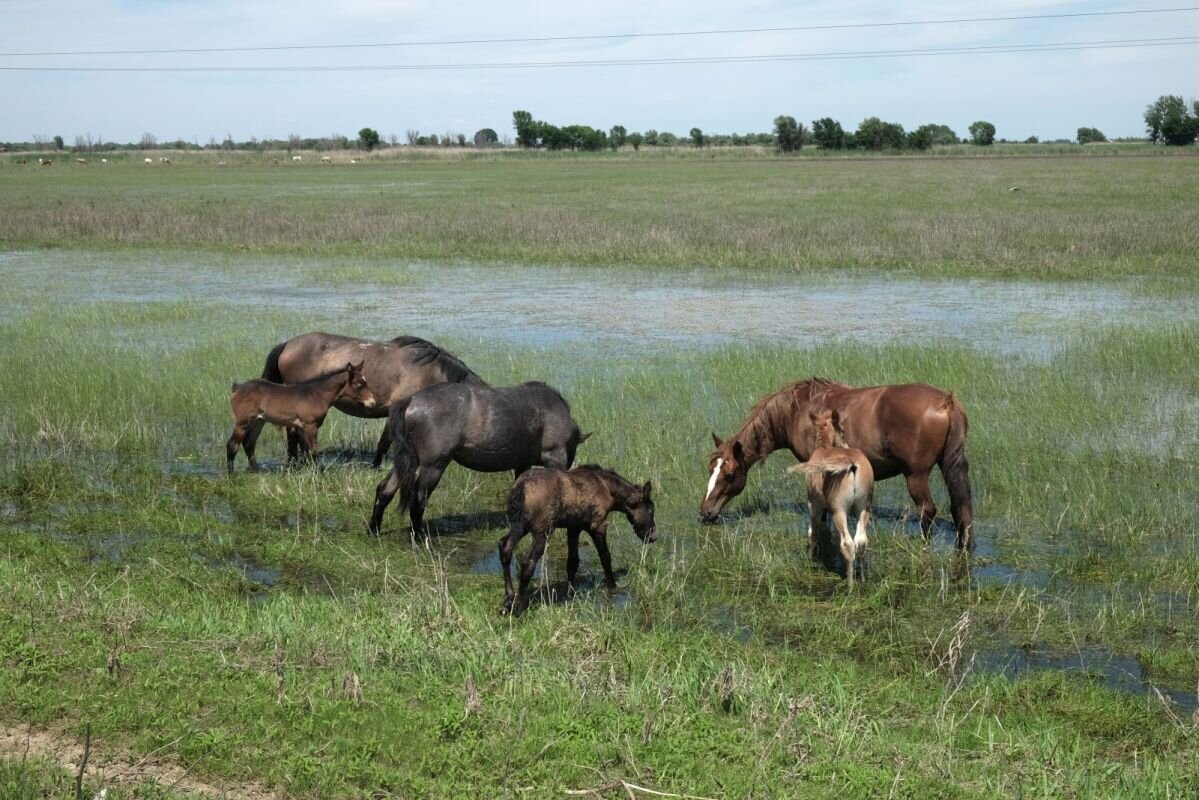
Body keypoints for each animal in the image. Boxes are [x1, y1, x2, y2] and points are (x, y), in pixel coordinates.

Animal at [225, 362, 374, 472]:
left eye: (366, 382)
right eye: (358, 384)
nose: (372, 402)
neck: (317, 395)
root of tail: (237, 388)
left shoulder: (303, 427)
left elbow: (307, 451)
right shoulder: (310, 426)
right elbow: (314, 451)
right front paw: (316, 473)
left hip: (258, 421)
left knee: (249, 443)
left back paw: (256, 472)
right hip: (242, 423)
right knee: (232, 445)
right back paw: (231, 476)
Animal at [256, 333, 481, 470]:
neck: (430, 371)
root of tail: (287, 344)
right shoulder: (397, 410)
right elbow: (384, 442)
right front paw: (375, 465)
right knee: (293, 432)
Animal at [700, 381, 973, 551]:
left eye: (729, 475)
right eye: (710, 470)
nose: (705, 513)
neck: (796, 411)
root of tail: (946, 402)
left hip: (915, 475)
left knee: (927, 510)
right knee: (961, 510)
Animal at [786, 410, 872, 585]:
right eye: (843, 431)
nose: (846, 445)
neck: (823, 448)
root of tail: (851, 464)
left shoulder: (814, 504)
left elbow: (813, 532)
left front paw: (808, 561)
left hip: (839, 510)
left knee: (847, 544)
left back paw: (850, 584)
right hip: (863, 508)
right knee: (861, 541)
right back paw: (862, 579)